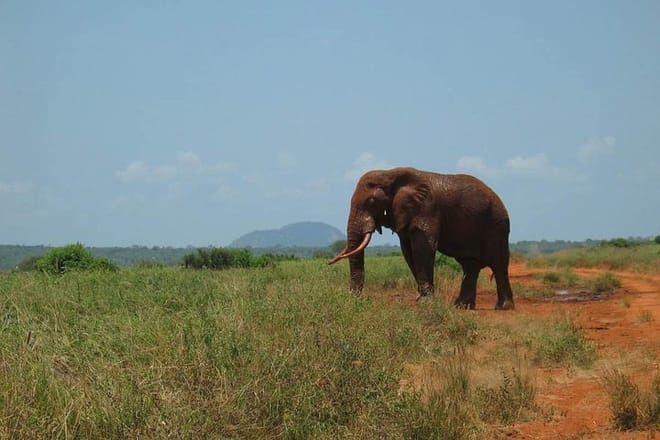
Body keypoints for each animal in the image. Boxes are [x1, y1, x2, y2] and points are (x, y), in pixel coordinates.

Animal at [328, 167, 514, 310]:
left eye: (372, 201)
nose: (355, 298)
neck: (390, 173)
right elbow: (408, 251)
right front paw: (421, 299)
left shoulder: (427, 208)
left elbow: (423, 248)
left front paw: (425, 302)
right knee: (470, 265)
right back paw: (462, 306)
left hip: (497, 225)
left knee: (498, 263)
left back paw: (503, 307)